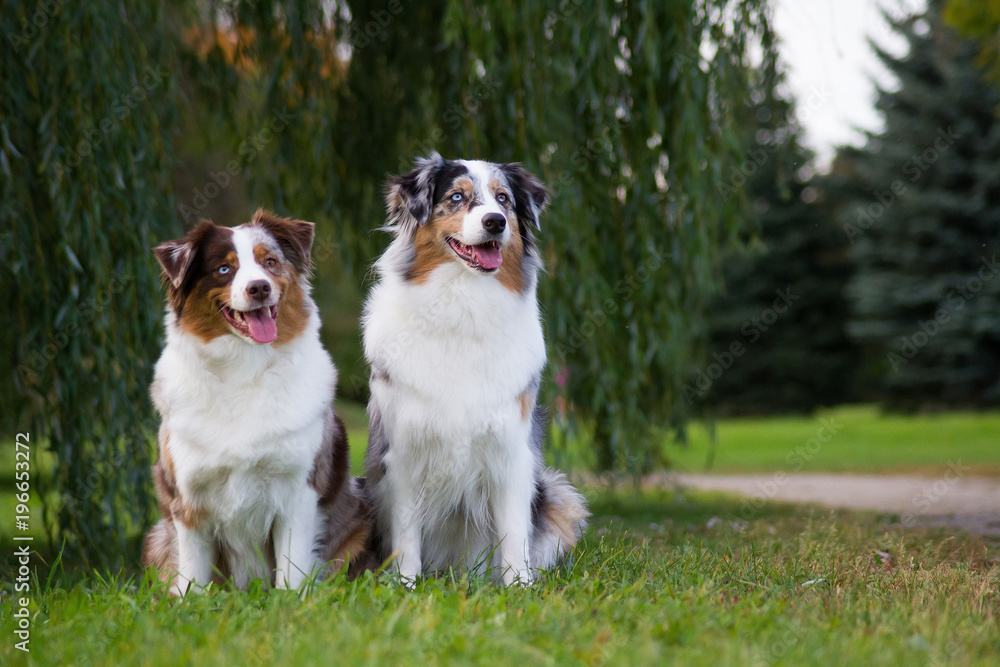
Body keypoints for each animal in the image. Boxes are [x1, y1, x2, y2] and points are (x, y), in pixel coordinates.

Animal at [143, 209, 370, 596]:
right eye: (224, 269)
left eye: (270, 262)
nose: (259, 287)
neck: (243, 367)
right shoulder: (188, 500)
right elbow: (192, 578)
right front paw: (190, 604)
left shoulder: (298, 490)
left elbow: (291, 572)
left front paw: (291, 603)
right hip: (157, 536)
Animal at [364, 155, 588, 584]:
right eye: (456, 197)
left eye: (503, 199)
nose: (496, 222)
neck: (462, 304)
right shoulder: (403, 453)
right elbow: (406, 534)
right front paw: (405, 585)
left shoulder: (512, 450)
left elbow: (515, 532)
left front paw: (519, 587)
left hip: (559, 496)